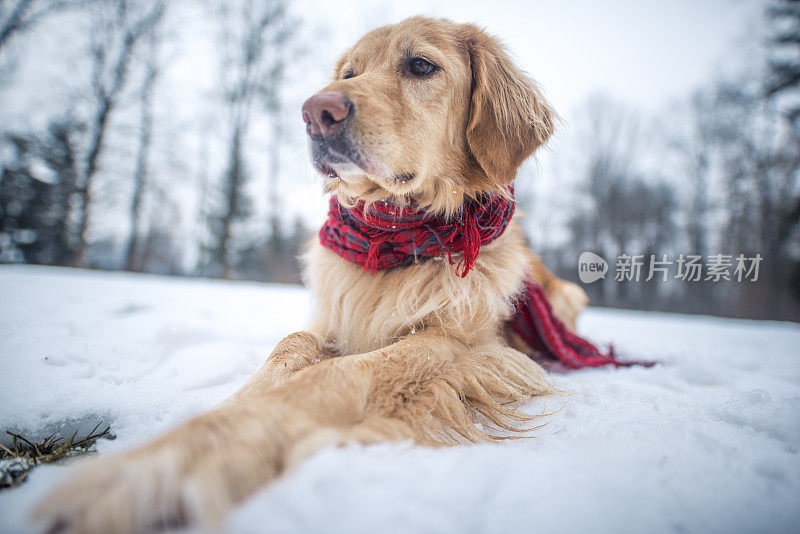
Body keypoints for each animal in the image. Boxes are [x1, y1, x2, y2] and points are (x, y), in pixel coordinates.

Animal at [34, 16, 588, 534]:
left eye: (420, 65)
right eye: (350, 74)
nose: (316, 113)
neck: (396, 238)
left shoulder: (465, 345)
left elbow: (337, 374)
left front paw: (183, 458)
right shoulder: (332, 320)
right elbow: (292, 344)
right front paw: (224, 409)